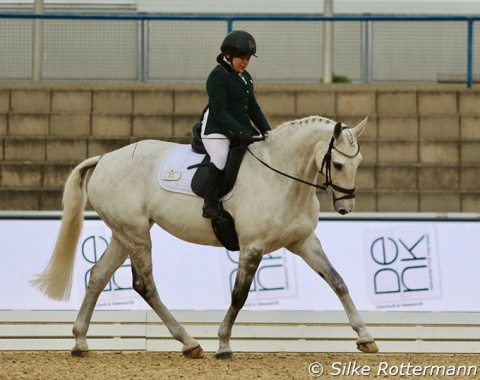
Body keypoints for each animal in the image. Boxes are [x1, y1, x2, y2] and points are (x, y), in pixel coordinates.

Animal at [32, 116, 378, 360]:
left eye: (359, 163)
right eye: (338, 164)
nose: (345, 207)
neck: (283, 177)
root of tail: (104, 158)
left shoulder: (304, 242)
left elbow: (337, 282)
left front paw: (365, 337)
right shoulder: (252, 246)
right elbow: (239, 295)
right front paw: (223, 344)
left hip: (124, 234)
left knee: (98, 276)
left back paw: (80, 341)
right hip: (137, 234)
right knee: (144, 285)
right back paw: (189, 343)